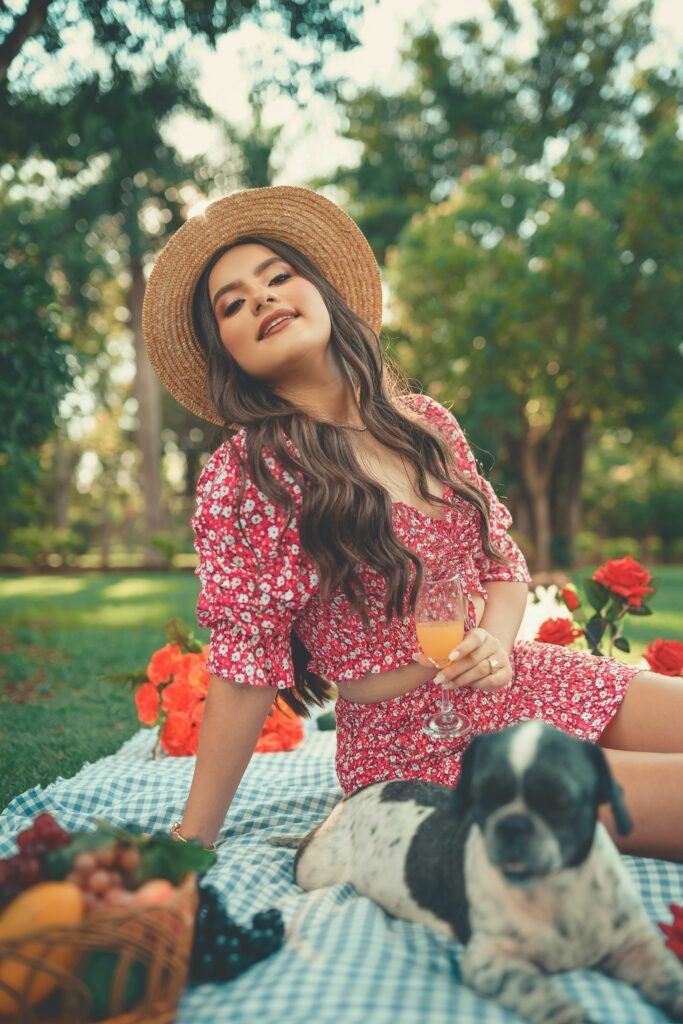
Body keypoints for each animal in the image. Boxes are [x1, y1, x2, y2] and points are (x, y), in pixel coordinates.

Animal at [270, 720, 683, 1024]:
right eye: (483, 797)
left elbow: (668, 977)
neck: (556, 890)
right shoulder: (491, 963)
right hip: (317, 869)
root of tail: (352, 797)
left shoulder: (634, 946)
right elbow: (545, 996)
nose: (512, 825)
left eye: (560, 801)